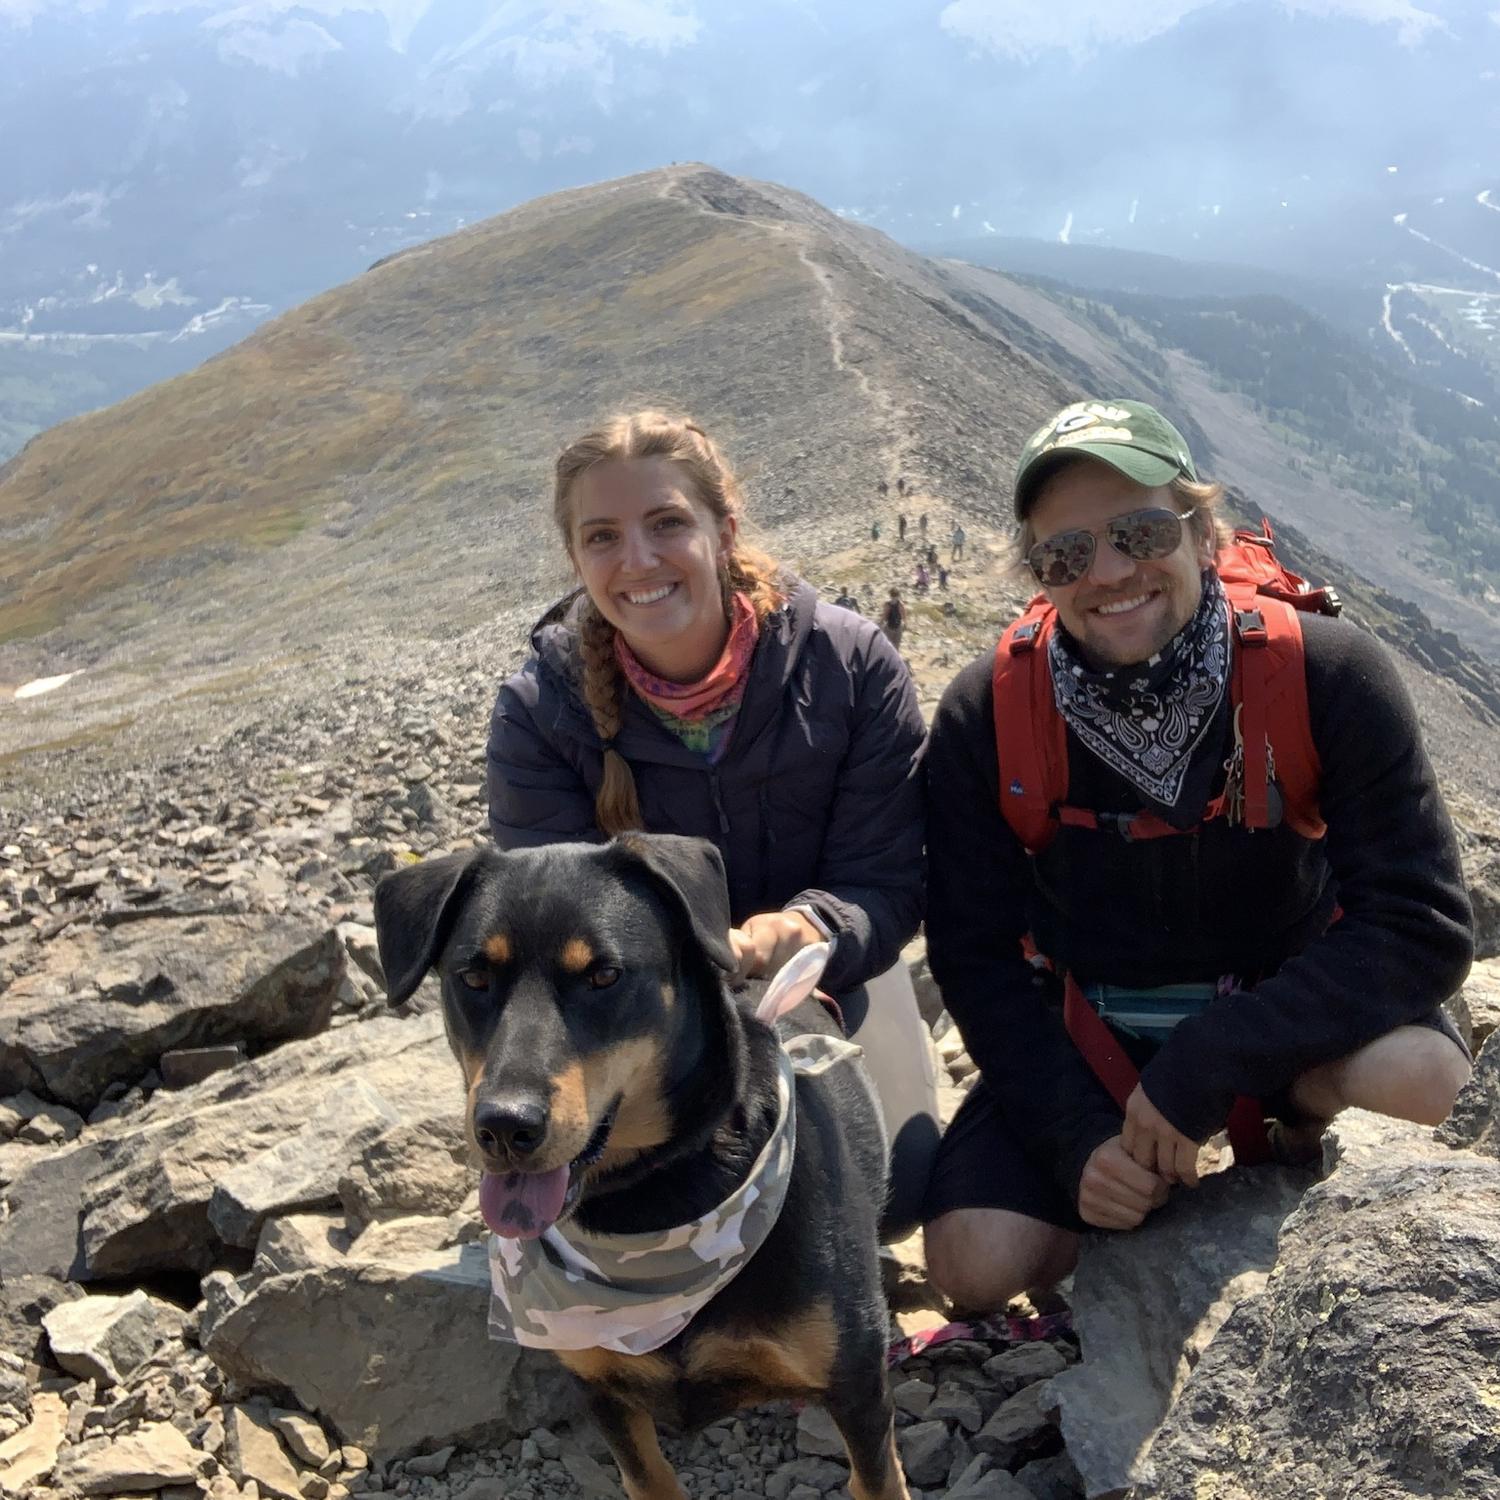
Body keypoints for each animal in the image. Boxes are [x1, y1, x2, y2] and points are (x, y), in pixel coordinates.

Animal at [375, 834, 912, 1500]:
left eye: (604, 975)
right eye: (473, 978)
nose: (503, 1126)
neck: (659, 1197)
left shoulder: (858, 1392)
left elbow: (877, 1476)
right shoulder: (602, 1391)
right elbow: (649, 1476)